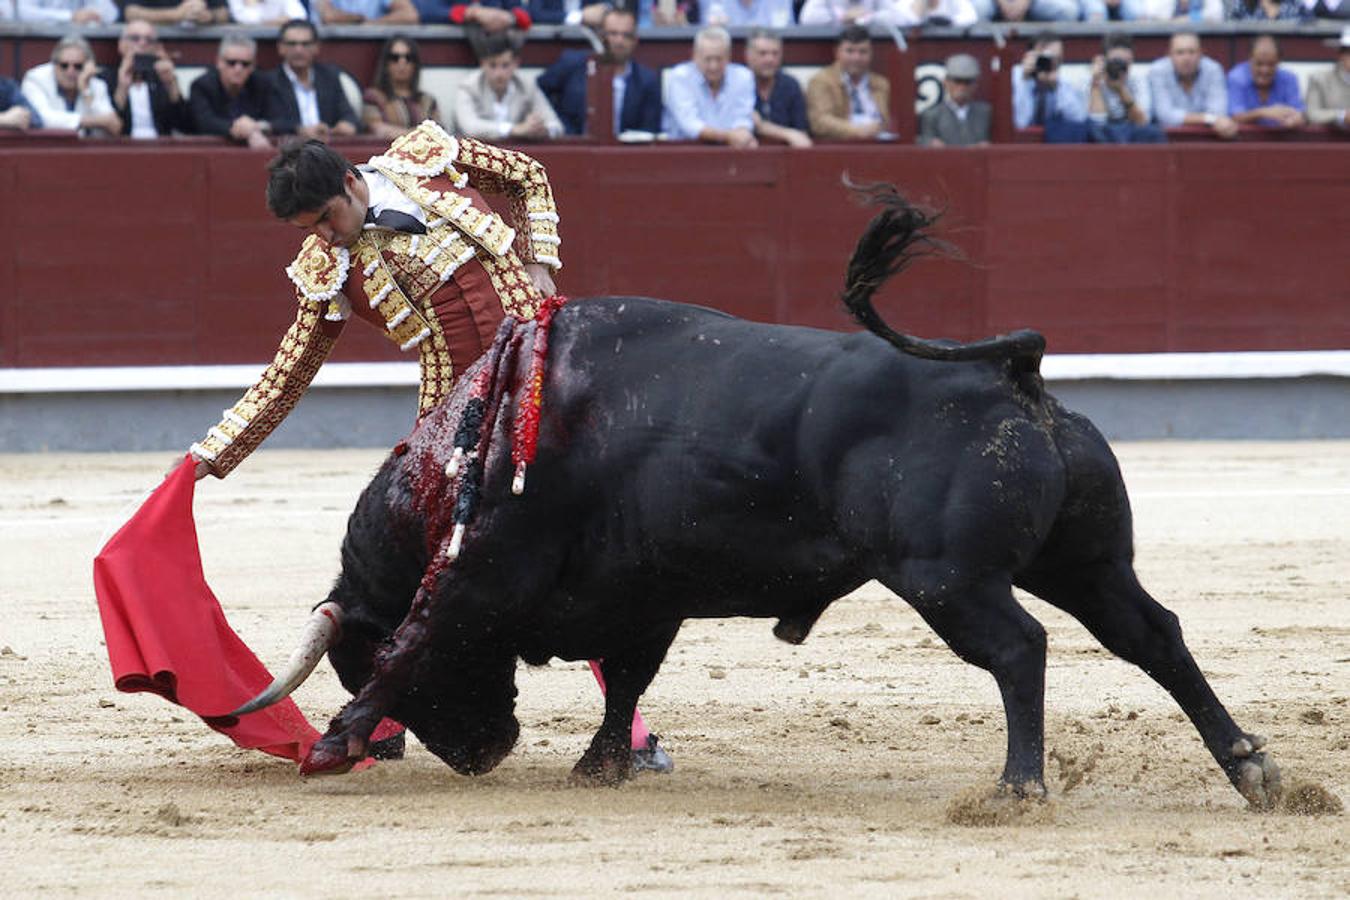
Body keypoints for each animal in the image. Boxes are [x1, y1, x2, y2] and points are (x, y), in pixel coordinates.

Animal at [263, 190, 1274, 809]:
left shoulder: (485, 574)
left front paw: (333, 746)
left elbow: (416, 639)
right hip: (1088, 560)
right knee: (1153, 634)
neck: (476, 440)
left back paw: (1018, 788)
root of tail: (1010, 375)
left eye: (349, 664)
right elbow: (629, 675)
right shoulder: (643, 595)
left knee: (1020, 649)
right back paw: (1252, 769)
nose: (485, 753)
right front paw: (601, 767)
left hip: (946, 577)